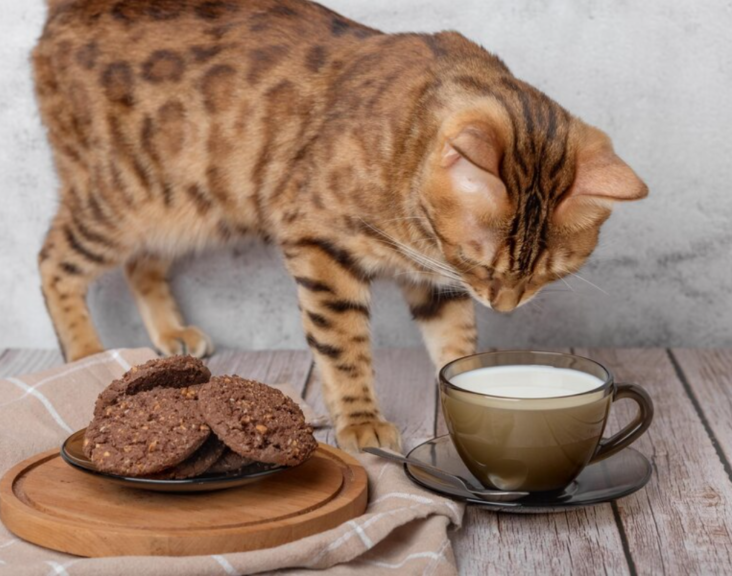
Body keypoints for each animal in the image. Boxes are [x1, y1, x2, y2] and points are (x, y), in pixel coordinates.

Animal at [33, 0, 648, 450]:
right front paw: (360, 421)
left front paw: (468, 378)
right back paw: (86, 355)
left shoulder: (436, 280)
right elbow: (342, 344)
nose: (505, 304)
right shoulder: (320, 244)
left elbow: (455, 338)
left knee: (141, 262)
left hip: (181, 208)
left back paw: (170, 334)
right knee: (53, 261)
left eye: (546, 275)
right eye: (479, 259)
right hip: (119, 198)